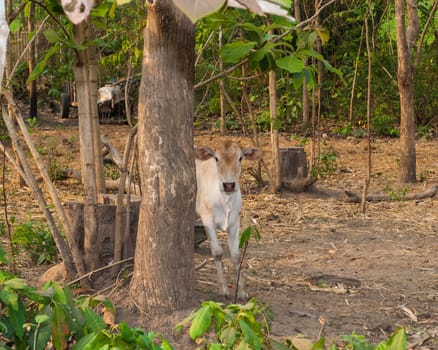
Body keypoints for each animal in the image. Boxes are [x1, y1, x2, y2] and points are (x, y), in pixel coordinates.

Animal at [193, 139, 262, 298]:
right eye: (216, 158)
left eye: (240, 158)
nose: (229, 185)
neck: (226, 201)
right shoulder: (207, 220)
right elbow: (217, 252)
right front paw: (224, 289)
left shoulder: (235, 222)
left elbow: (236, 255)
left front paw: (242, 290)